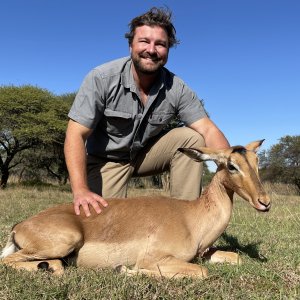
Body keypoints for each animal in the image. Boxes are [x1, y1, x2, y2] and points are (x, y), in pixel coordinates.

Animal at [0, 141, 272, 278]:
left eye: (256, 161)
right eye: (231, 165)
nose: (265, 201)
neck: (191, 217)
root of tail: (19, 226)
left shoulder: (202, 253)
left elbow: (236, 258)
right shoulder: (155, 259)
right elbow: (202, 272)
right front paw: (125, 270)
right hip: (65, 241)